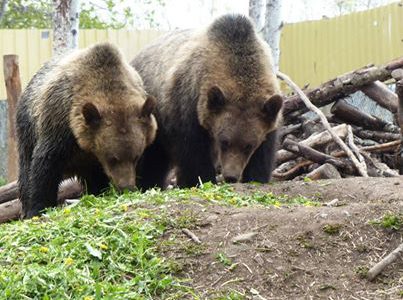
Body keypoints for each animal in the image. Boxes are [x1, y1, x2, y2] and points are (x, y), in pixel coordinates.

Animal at [16, 42, 158, 218]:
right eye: (112, 158)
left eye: (136, 157)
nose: (126, 187)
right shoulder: (59, 126)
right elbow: (44, 167)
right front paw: (37, 209)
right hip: (27, 129)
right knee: (25, 169)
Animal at [133, 14, 284, 188]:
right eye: (224, 141)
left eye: (249, 145)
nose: (231, 176)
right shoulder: (187, 105)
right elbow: (193, 153)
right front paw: (200, 179)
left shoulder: (268, 115)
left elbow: (263, 154)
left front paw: (256, 177)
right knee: (151, 156)